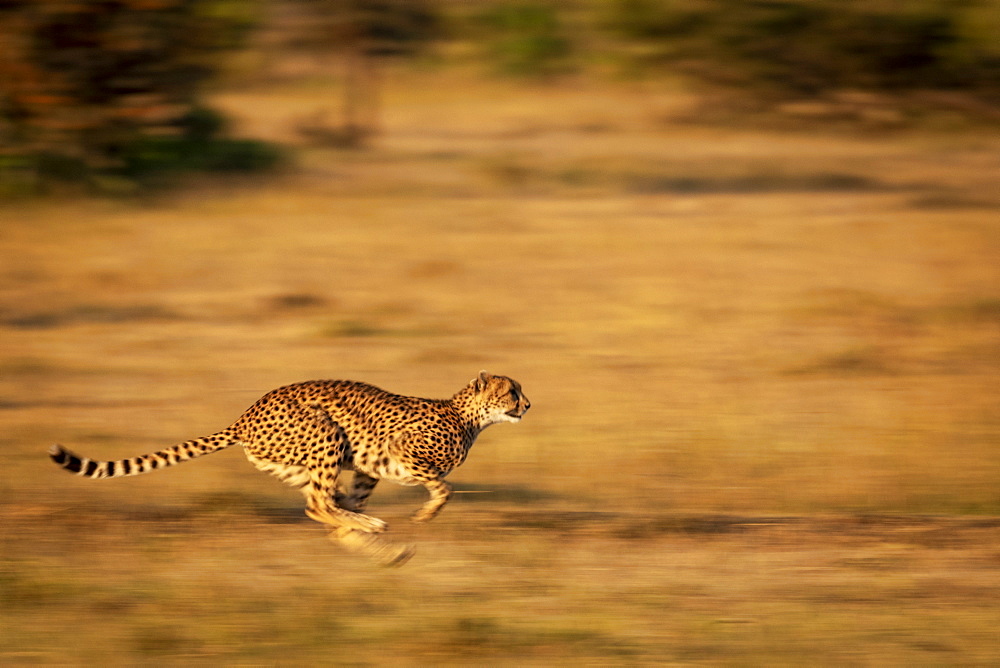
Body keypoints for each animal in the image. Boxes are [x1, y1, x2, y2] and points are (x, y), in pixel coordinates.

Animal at [50, 370, 528, 564]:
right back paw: (374, 528)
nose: (528, 404)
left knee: (319, 508)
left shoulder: (368, 468)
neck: (467, 416)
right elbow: (444, 486)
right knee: (318, 505)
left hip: (303, 461)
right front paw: (424, 515)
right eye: (512, 391)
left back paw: (381, 543)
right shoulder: (400, 452)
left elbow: (351, 500)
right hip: (327, 432)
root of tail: (245, 415)